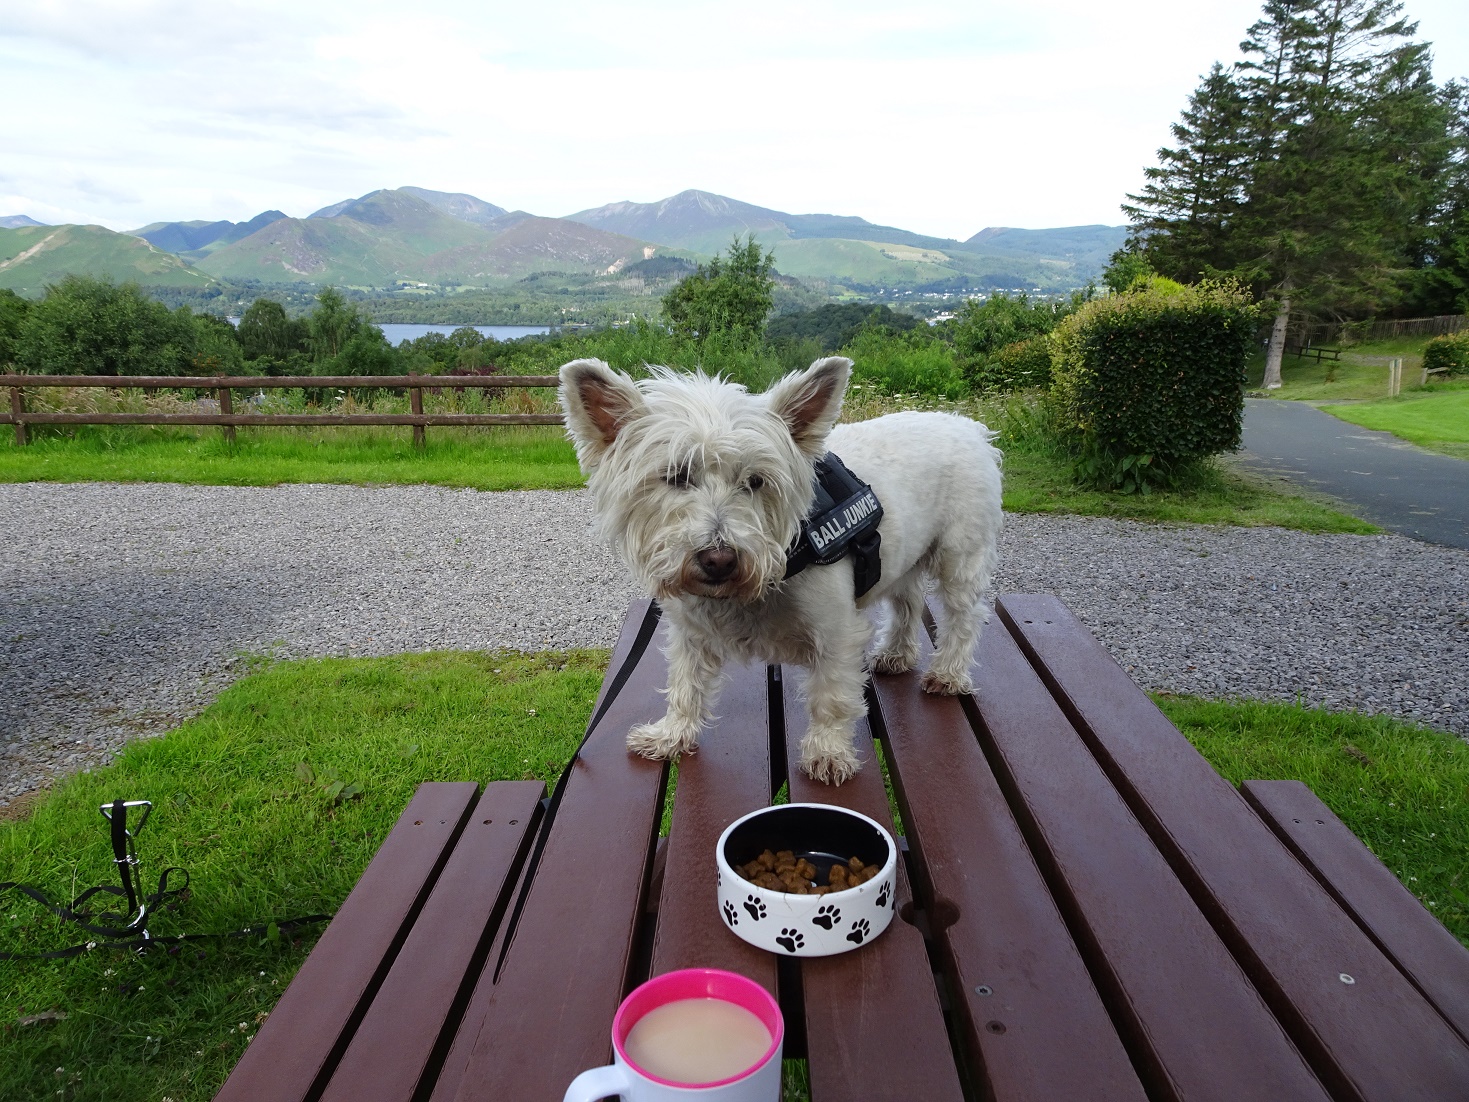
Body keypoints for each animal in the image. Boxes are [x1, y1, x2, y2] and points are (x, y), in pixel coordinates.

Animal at [555, 355, 1004, 787]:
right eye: (676, 477)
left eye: (756, 481)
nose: (719, 559)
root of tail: (968, 427)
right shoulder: (691, 632)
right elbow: (685, 685)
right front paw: (671, 735)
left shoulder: (837, 632)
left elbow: (831, 696)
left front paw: (828, 753)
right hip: (903, 555)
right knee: (907, 601)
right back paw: (896, 655)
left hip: (960, 555)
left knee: (963, 615)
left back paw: (947, 674)